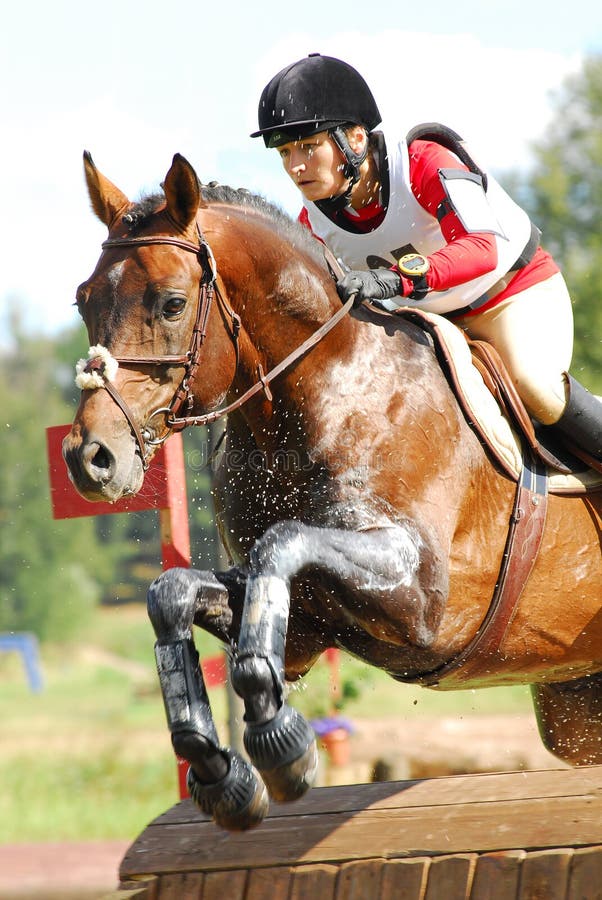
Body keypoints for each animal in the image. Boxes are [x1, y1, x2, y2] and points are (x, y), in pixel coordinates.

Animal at [63, 153, 600, 828]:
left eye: (171, 304)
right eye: (83, 301)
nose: (90, 459)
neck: (319, 393)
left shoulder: (422, 597)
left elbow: (283, 543)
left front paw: (281, 744)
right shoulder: (307, 627)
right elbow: (173, 593)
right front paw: (220, 773)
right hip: (574, 708)